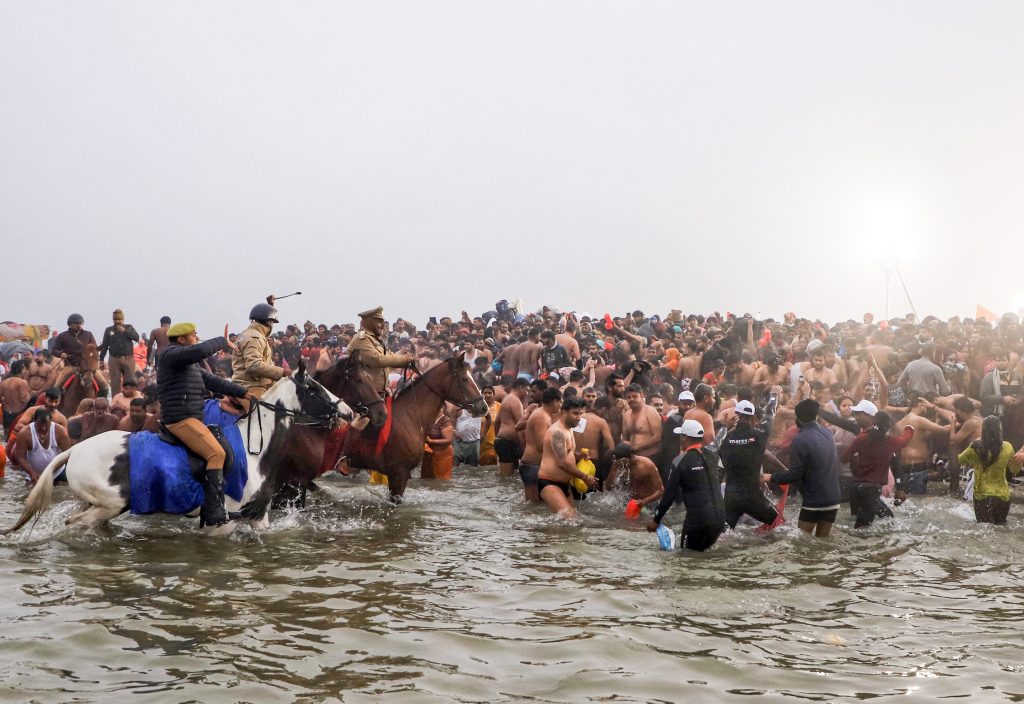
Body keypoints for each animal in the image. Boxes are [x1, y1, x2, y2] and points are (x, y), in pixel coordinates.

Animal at [6, 366, 352, 536]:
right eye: (314, 388)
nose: (348, 412)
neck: (254, 450)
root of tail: (75, 451)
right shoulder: (223, 522)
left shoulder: (258, 517)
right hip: (108, 505)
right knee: (76, 524)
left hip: (98, 505)